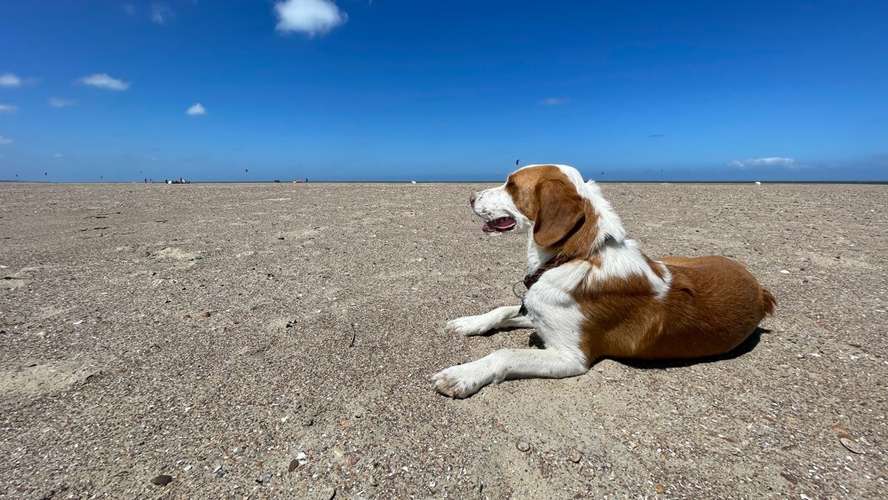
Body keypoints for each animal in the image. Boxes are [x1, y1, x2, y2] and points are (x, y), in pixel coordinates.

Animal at [434, 164, 772, 398]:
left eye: (511, 185)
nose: (470, 197)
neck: (574, 256)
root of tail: (761, 289)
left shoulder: (572, 356)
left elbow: (505, 353)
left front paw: (462, 375)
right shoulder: (540, 315)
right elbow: (502, 310)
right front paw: (469, 323)